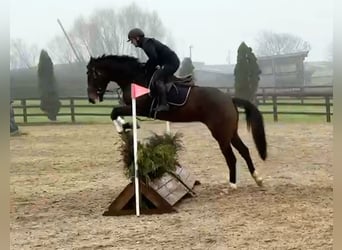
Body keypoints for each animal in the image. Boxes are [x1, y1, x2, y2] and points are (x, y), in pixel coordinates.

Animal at [85, 53, 268, 188]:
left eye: (92, 74)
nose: (92, 99)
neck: (134, 77)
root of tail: (229, 99)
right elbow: (115, 112)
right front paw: (127, 125)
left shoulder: (140, 108)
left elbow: (114, 112)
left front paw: (125, 126)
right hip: (231, 132)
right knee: (244, 151)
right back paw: (257, 178)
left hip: (221, 134)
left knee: (231, 157)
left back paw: (232, 185)